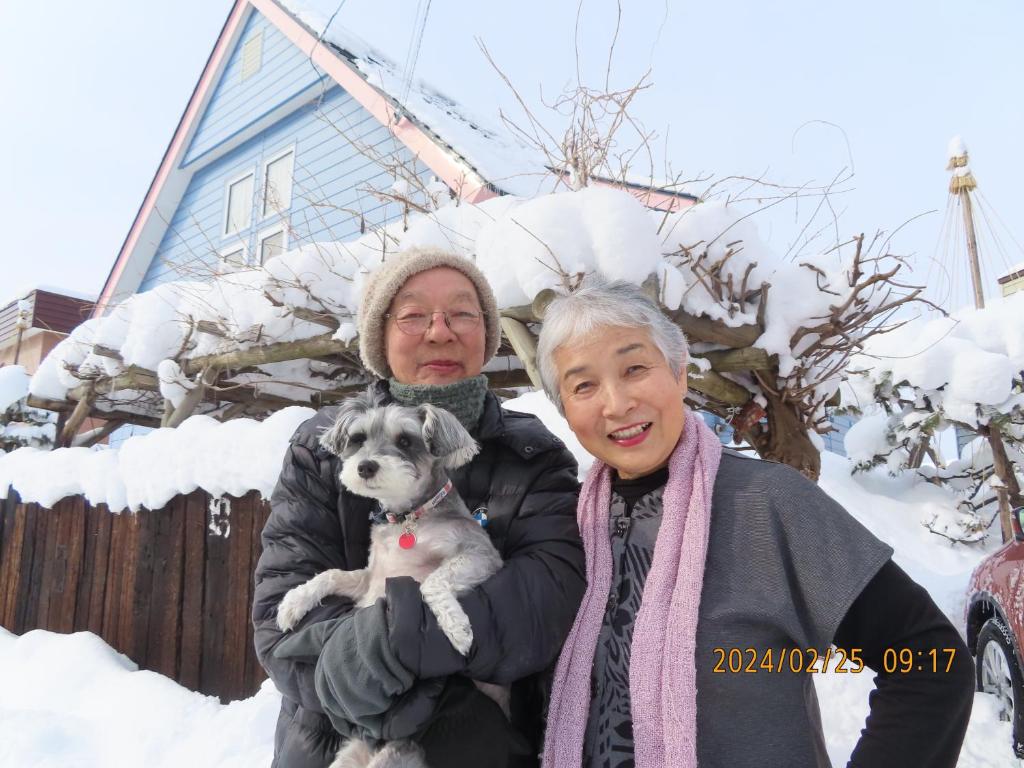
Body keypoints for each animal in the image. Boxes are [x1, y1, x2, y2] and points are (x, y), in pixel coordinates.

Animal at [278, 391, 505, 768]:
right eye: (358, 439)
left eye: (405, 441)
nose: (365, 466)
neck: (408, 519)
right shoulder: (370, 580)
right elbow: (331, 573)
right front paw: (294, 601)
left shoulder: (481, 556)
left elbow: (432, 582)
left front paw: (457, 627)